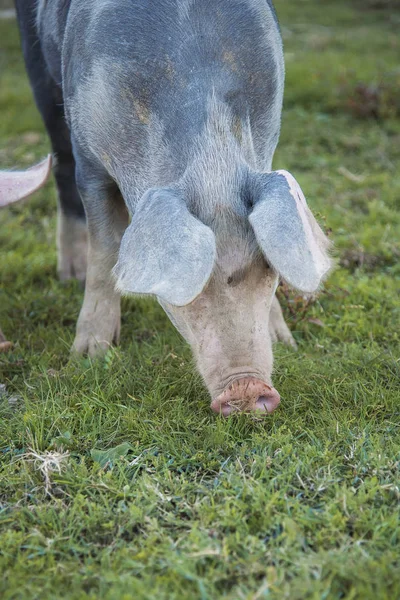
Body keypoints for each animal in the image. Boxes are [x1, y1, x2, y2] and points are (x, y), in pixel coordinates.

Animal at [16, 1, 332, 412]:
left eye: (267, 270)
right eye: (190, 286)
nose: (248, 388)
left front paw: (286, 343)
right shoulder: (91, 157)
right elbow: (104, 252)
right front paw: (89, 357)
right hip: (39, 70)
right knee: (61, 168)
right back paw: (70, 276)